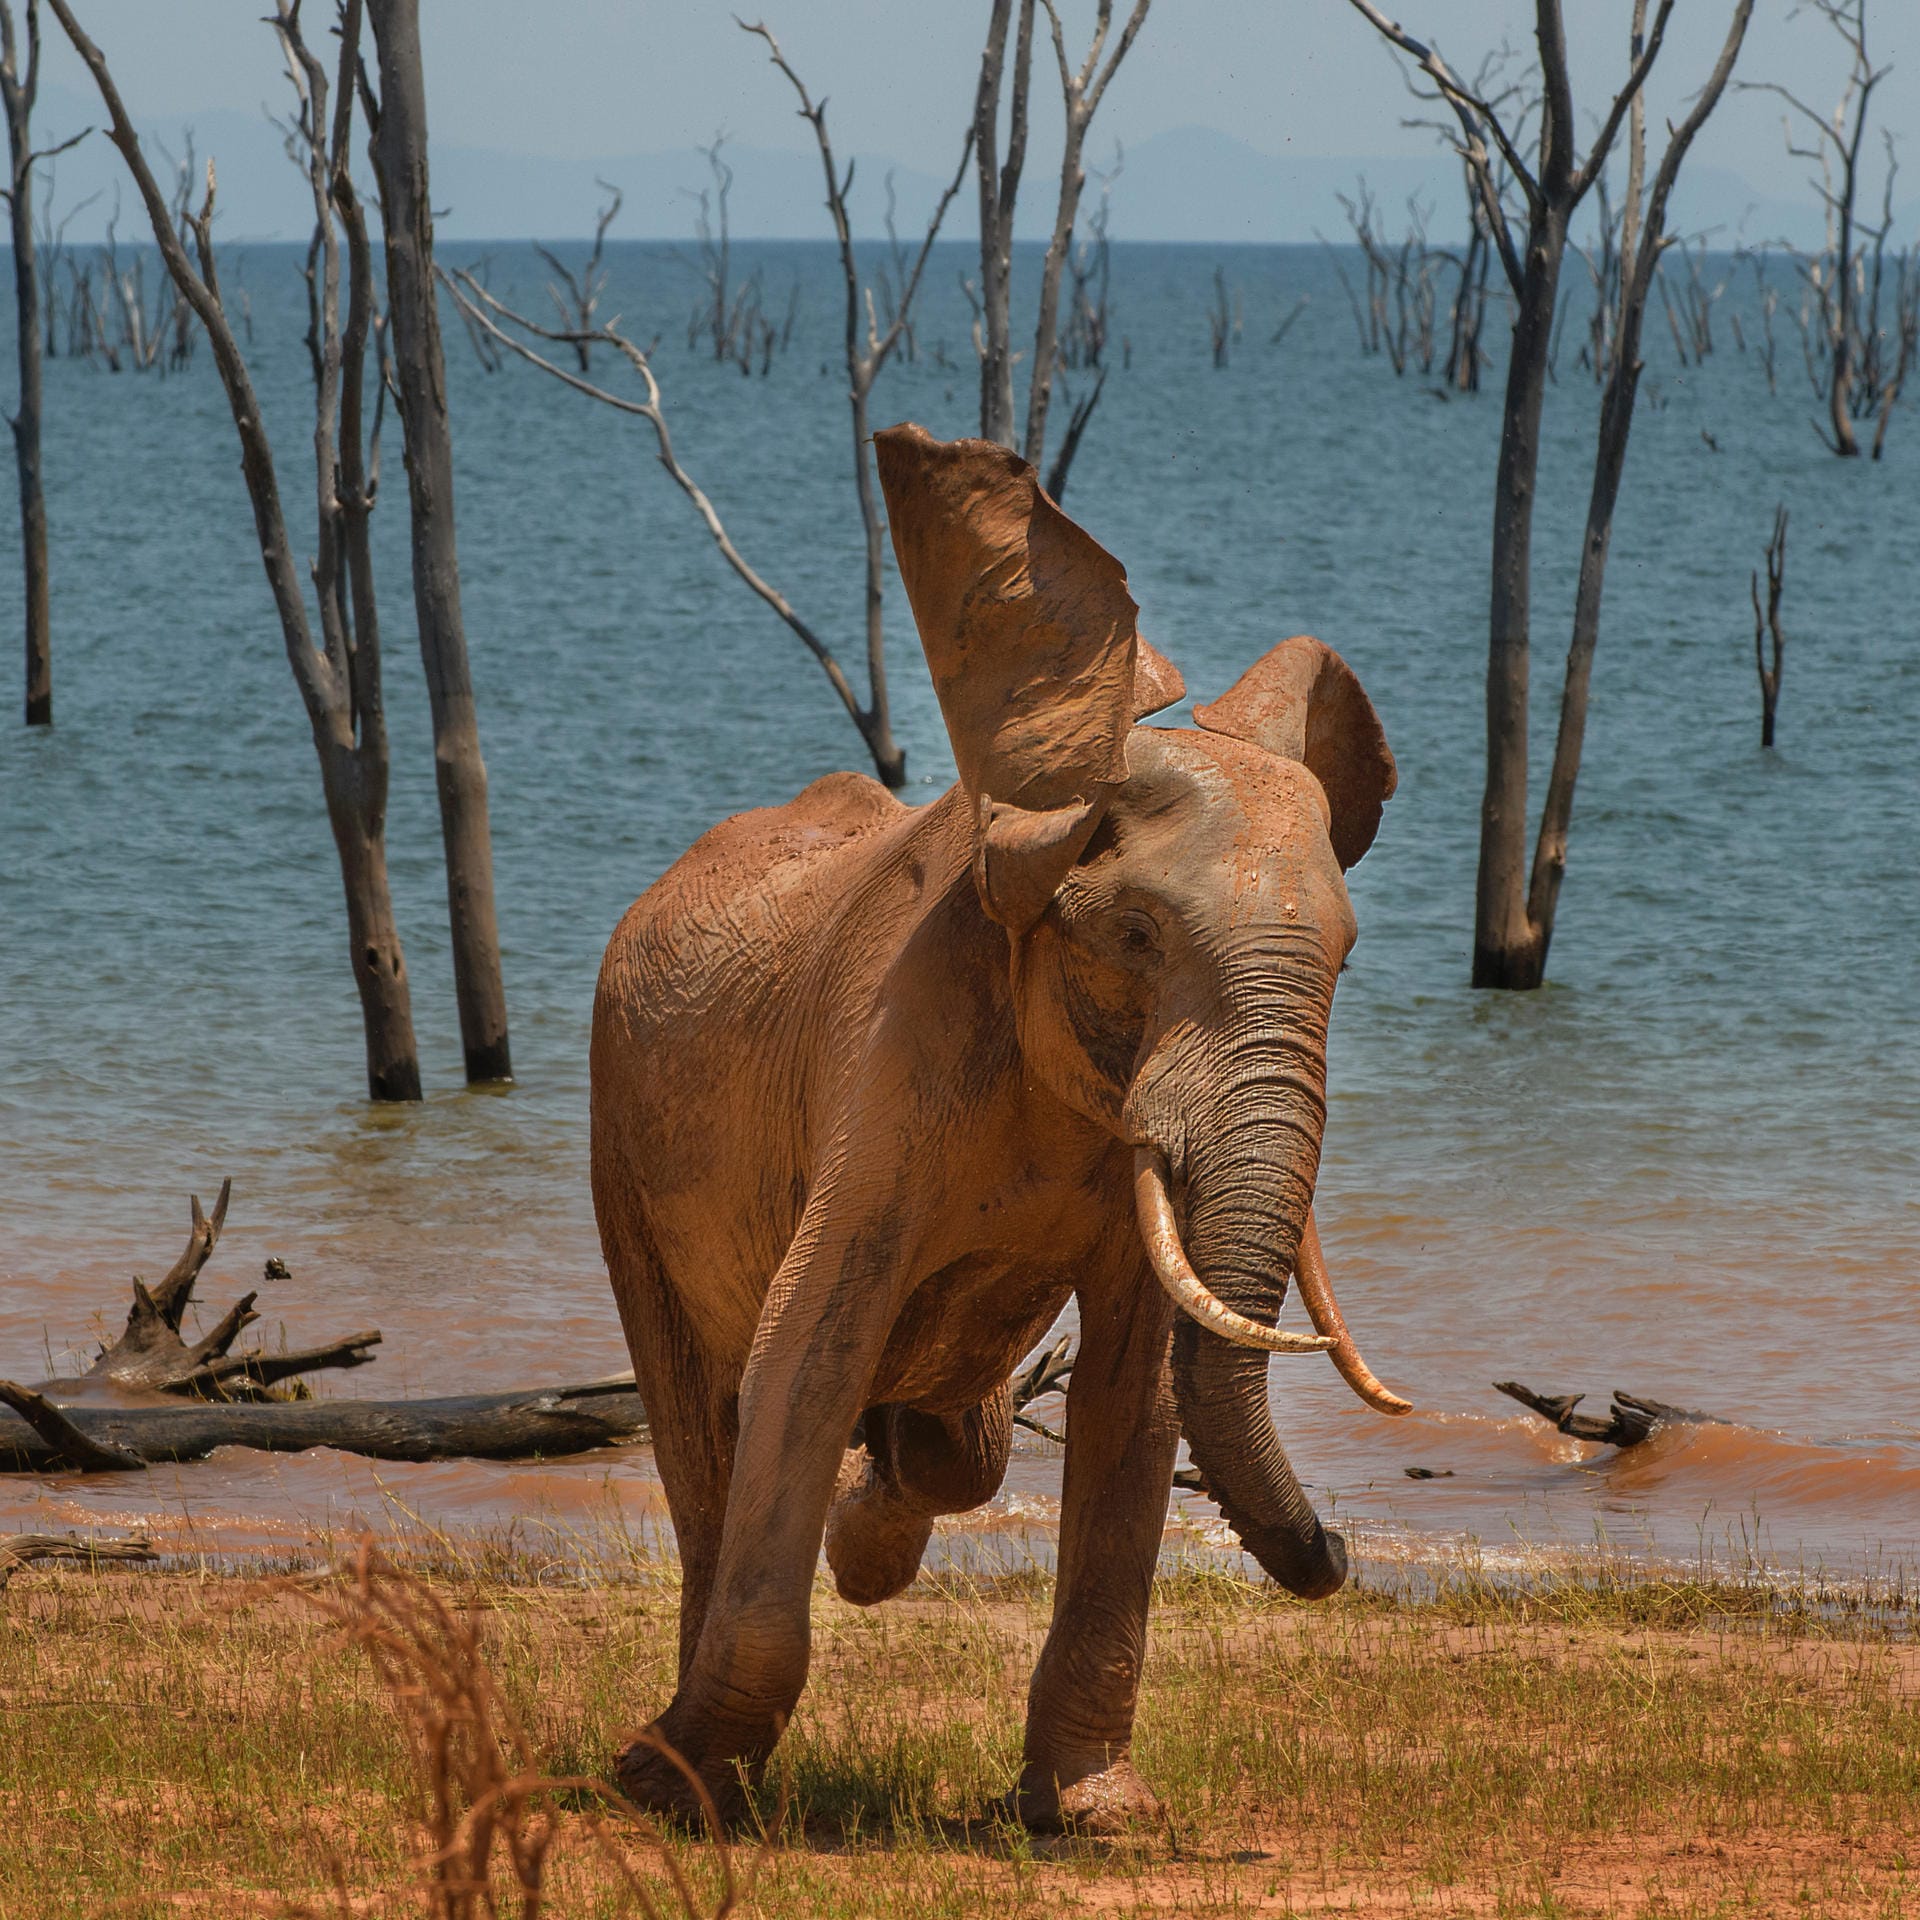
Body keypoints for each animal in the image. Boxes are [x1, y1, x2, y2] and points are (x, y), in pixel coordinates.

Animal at [591, 420, 1420, 1827]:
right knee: (701, 1427)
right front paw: (672, 1785)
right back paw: (678, 1769)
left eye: (1348, 960)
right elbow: (808, 1344)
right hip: (616, 1139)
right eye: (1134, 936)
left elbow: (1136, 1394)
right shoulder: (898, 1047)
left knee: (949, 1446)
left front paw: (1093, 1816)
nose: (1341, 1551)